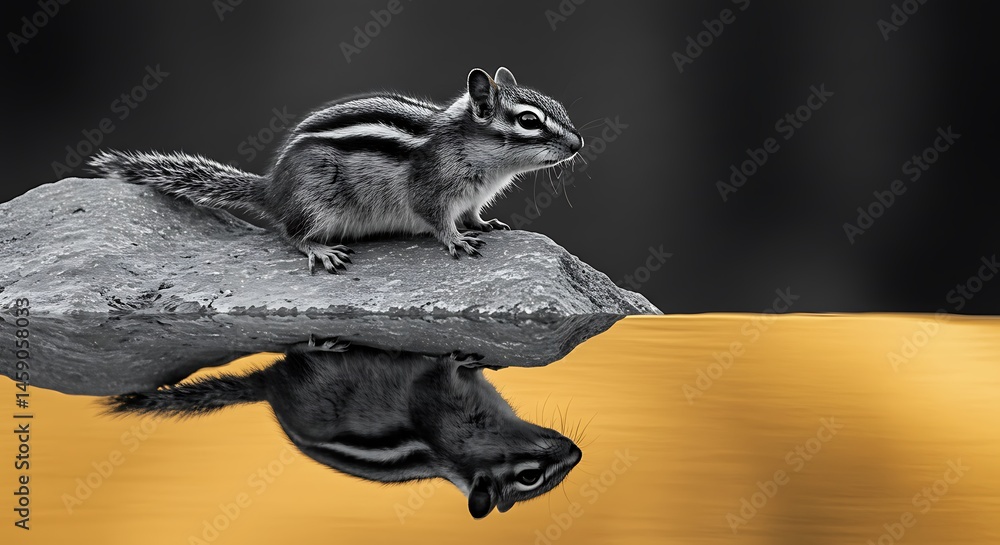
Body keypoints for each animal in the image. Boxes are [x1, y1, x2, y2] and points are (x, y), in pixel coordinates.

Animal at [88, 67, 583, 274]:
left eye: (559, 108)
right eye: (529, 121)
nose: (579, 144)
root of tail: (273, 188)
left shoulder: (473, 196)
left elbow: (474, 213)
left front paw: (485, 223)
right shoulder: (430, 189)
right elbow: (436, 219)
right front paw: (456, 239)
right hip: (317, 203)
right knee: (291, 233)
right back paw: (319, 249)